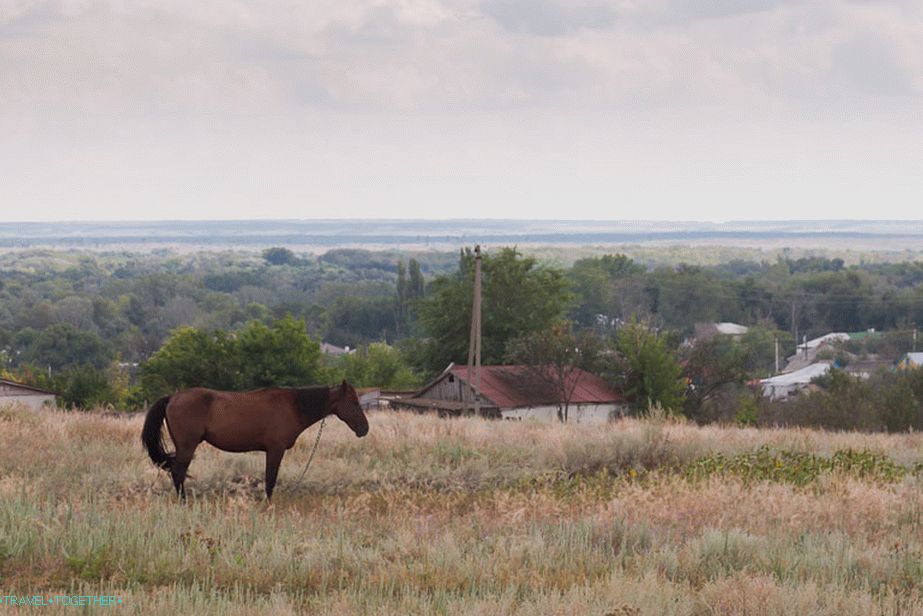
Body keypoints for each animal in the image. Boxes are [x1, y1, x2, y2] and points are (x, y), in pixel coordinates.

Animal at [141, 380, 368, 500]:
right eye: (354, 403)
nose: (365, 429)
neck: (293, 406)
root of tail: (172, 397)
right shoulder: (275, 450)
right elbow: (270, 479)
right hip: (187, 447)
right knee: (178, 473)